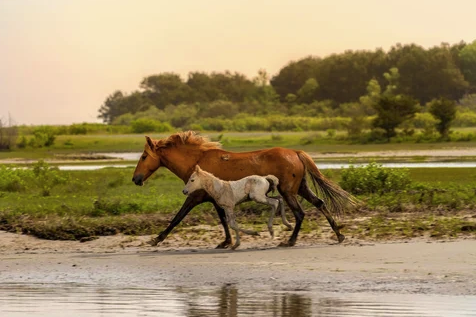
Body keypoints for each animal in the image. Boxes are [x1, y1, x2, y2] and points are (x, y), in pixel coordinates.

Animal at [132, 131, 356, 247]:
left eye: (143, 156)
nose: (136, 179)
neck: (197, 162)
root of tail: (295, 152)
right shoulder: (217, 200)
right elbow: (224, 220)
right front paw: (226, 242)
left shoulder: (195, 197)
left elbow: (178, 217)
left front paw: (157, 239)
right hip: (300, 189)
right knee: (320, 203)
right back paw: (339, 235)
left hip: (288, 192)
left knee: (300, 213)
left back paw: (290, 241)